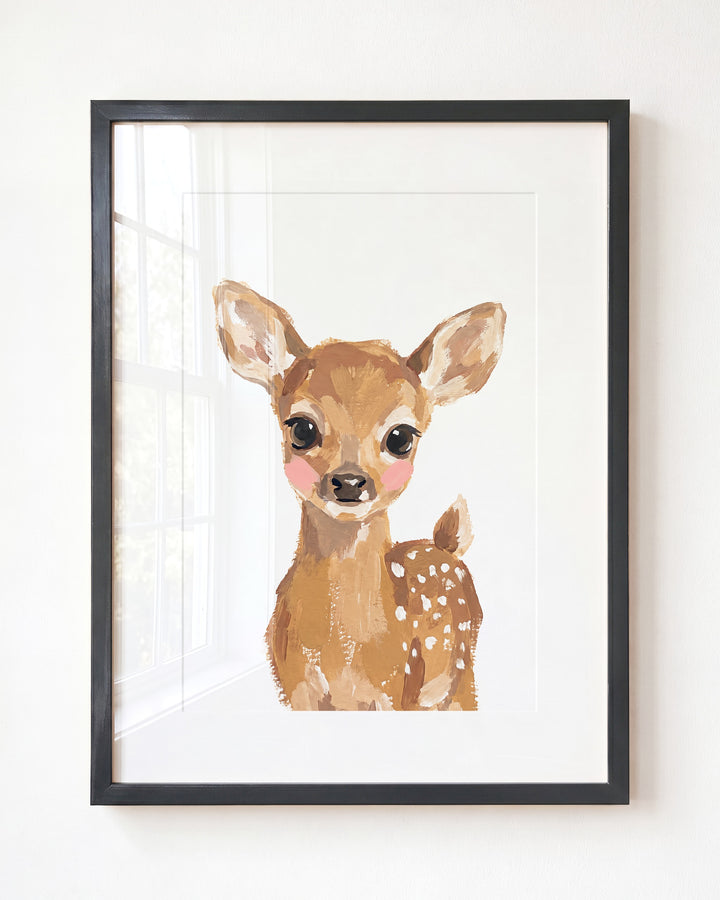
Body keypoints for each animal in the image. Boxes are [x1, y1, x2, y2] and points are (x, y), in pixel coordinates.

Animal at [214, 280, 506, 710]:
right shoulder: (295, 689)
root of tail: (445, 545)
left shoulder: (395, 689)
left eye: (401, 437)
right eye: (301, 428)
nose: (350, 481)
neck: (345, 654)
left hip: (461, 672)